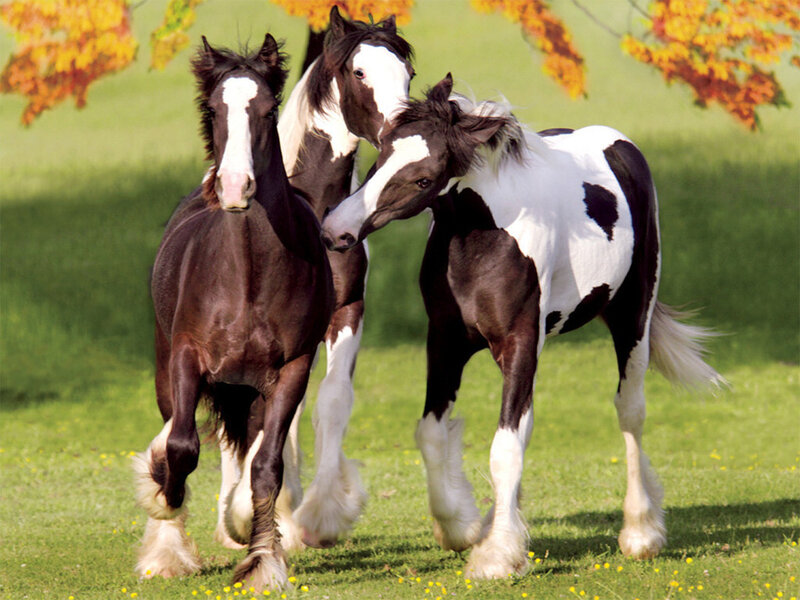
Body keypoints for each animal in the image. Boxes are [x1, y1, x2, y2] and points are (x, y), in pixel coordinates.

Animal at [133, 36, 333, 591]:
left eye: (267, 110)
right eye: (213, 110)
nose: (234, 187)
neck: (247, 279)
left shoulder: (292, 370)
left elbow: (266, 467)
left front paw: (261, 559)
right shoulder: (186, 356)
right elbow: (181, 447)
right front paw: (161, 498)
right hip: (168, 366)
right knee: (176, 431)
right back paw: (166, 546)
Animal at [213, 6, 415, 551]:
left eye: (408, 74)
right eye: (359, 72)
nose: (399, 136)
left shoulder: (346, 312)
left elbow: (331, 402)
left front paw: (321, 514)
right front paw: (248, 514)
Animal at [321, 74, 726, 578]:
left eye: (423, 178)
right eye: (379, 157)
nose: (334, 231)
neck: (486, 239)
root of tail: (620, 146)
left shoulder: (519, 344)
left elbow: (505, 446)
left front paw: (495, 557)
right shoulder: (446, 342)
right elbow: (432, 433)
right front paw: (463, 528)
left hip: (633, 318)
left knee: (630, 411)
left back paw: (641, 533)